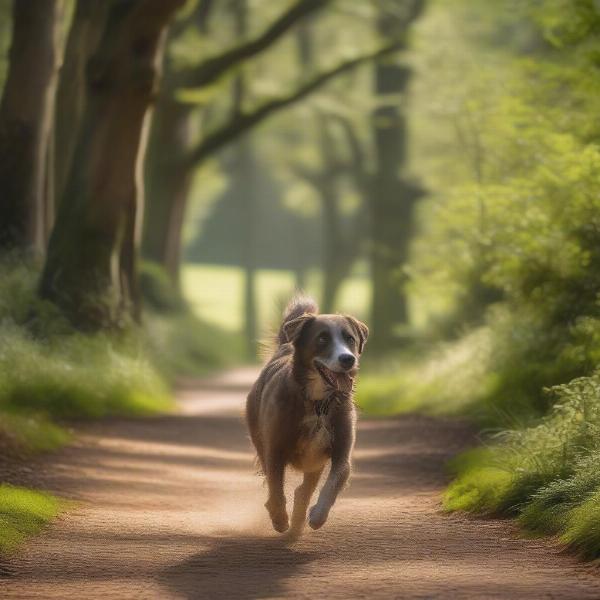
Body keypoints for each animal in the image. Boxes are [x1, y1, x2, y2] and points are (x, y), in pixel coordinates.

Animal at [246, 298, 368, 536]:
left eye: (350, 338)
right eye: (322, 338)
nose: (348, 359)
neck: (318, 403)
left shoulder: (341, 453)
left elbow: (334, 483)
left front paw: (318, 516)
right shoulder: (275, 448)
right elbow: (276, 487)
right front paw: (279, 518)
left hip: (314, 461)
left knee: (304, 489)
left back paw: (299, 519)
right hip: (259, 437)